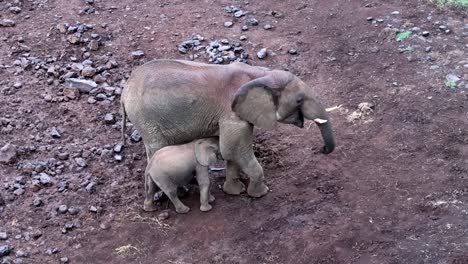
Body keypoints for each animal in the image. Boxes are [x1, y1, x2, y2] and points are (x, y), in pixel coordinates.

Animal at [119, 58, 334, 211]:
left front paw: (234, 191)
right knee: (155, 149)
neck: (262, 74)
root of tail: (124, 91)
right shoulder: (231, 113)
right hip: (147, 121)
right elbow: (234, 150)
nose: (323, 149)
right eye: (299, 100)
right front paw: (260, 193)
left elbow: (232, 152)